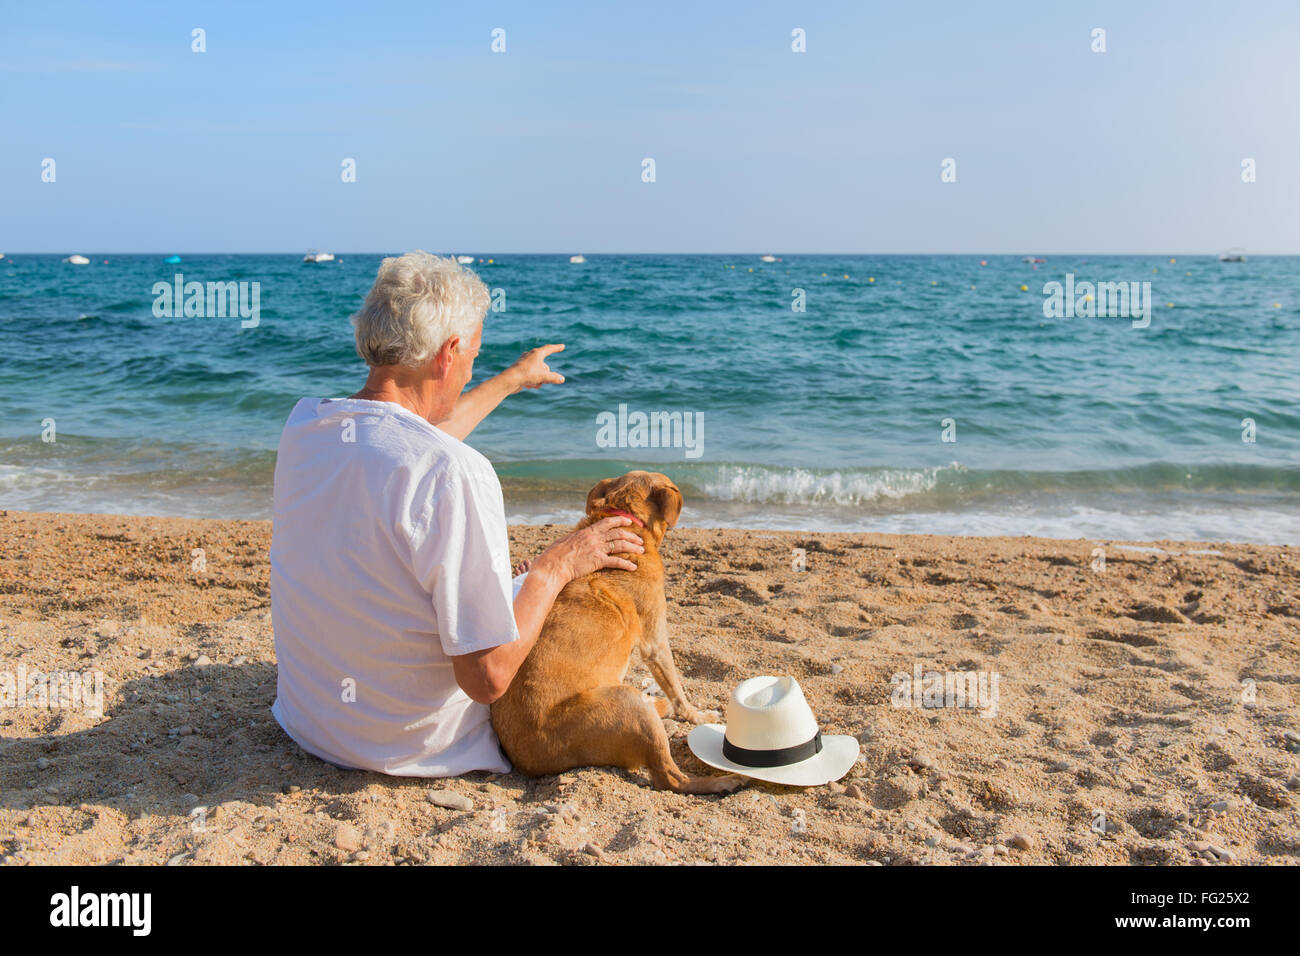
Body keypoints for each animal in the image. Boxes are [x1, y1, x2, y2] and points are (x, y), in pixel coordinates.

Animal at [491, 470, 748, 790]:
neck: (624, 518)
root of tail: (527, 761)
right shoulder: (655, 641)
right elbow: (677, 689)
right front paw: (696, 715)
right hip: (628, 701)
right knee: (670, 777)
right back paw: (721, 782)